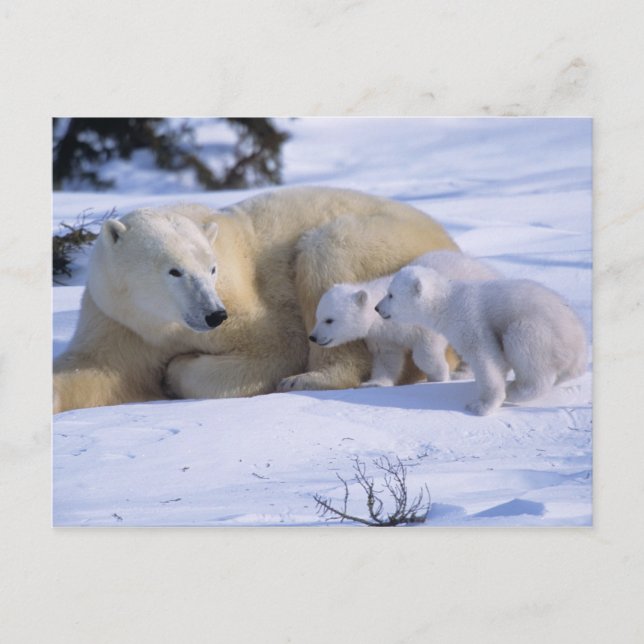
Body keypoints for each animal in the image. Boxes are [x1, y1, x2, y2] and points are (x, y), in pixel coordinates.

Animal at [53, 187, 459, 412]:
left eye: (211, 268)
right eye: (174, 271)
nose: (214, 315)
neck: (160, 323)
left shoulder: (244, 303)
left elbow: (276, 346)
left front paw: (174, 372)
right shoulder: (118, 319)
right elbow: (96, 369)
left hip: (378, 245)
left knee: (327, 256)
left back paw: (308, 379)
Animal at [308, 251, 500, 387]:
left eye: (329, 320)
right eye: (317, 317)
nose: (313, 337)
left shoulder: (422, 319)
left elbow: (425, 350)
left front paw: (439, 376)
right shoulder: (383, 336)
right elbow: (387, 358)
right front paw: (374, 383)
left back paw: (461, 372)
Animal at [376, 265, 588, 415]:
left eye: (391, 294)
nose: (377, 308)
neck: (448, 302)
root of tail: (578, 345)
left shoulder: (470, 320)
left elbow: (486, 358)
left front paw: (480, 406)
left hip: (540, 332)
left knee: (524, 348)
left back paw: (515, 389)